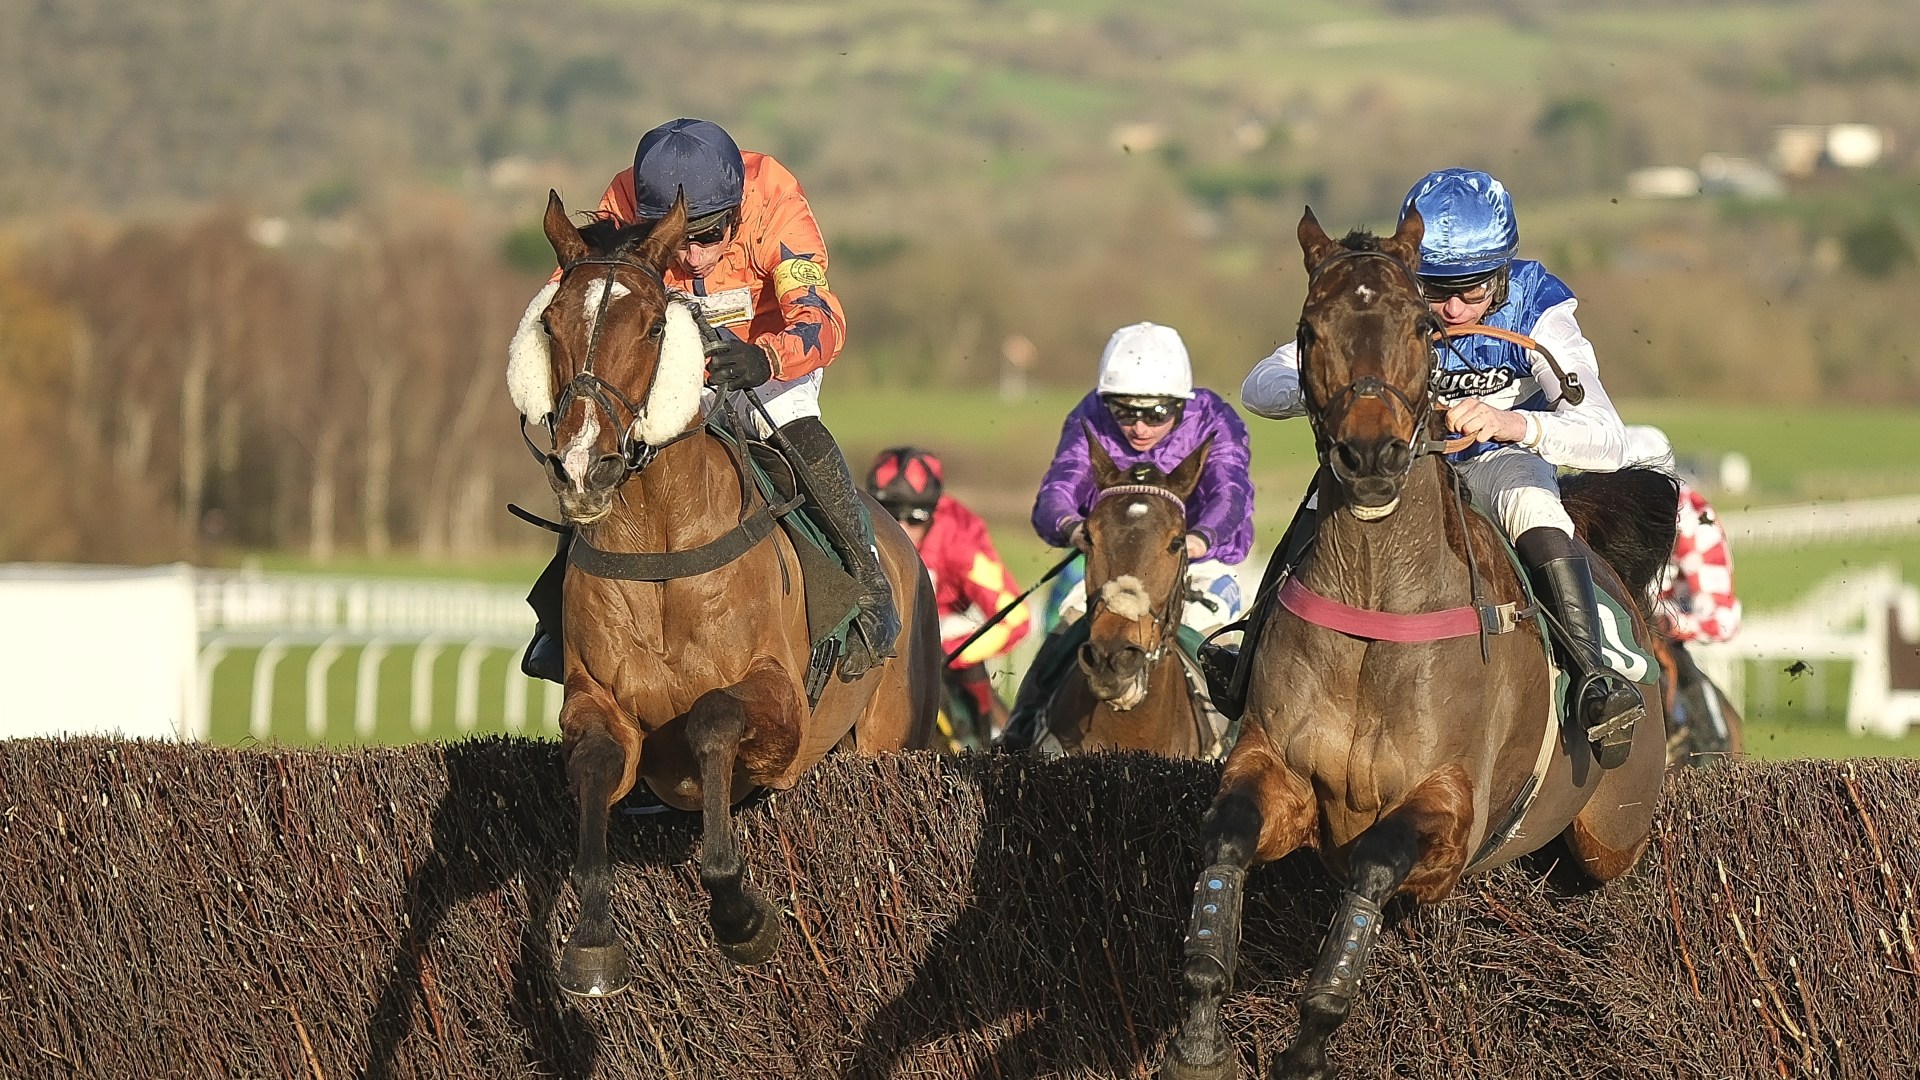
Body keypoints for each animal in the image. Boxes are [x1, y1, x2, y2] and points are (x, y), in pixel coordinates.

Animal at [526, 189, 944, 991]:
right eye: (551, 321)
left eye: (654, 325)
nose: (584, 466)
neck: (661, 544)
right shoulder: (595, 703)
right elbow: (594, 767)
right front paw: (592, 938)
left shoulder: (780, 707)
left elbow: (712, 718)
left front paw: (739, 911)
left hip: (887, 736)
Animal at [1159, 205, 1674, 1068]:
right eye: (1309, 329)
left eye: (1422, 327)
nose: (1371, 454)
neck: (1379, 601)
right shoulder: (1276, 768)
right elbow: (1224, 839)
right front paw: (1199, 1030)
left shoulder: (1448, 818)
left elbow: (1373, 865)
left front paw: (1309, 1041)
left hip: (1614, 829)